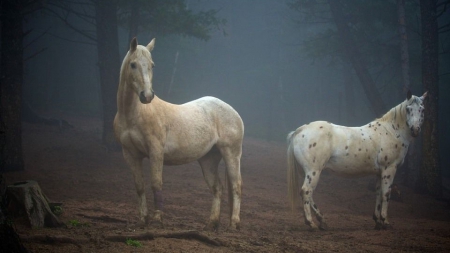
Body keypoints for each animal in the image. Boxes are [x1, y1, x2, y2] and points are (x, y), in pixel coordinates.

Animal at [114, 38, 244, 231]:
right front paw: (143, 219)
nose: (147, 96)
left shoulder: (156, 151)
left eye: (152, 65)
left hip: (231, 154)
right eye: (133, 64)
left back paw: (234, 223)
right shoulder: (130, 154)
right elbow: (139, 186)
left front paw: (157, 219)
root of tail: (233, 112)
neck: (134, 114)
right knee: (217, 188)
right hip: (209, 159)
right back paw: (212, 223)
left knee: (236, 186)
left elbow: (156, 183)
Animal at [286, 91, 428, 229]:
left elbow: (378, 193)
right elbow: (386, 194)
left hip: (309, 172)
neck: (391, 131)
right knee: (306, 192)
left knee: (308, 195)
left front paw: (377, 221)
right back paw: (311, 222)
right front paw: (385, 221)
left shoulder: (379, 172)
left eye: (422, 109)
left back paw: (322, 220)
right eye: (408, 109)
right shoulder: (389, 169)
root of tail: (300, 130)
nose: (415, 130)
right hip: (313, 171)